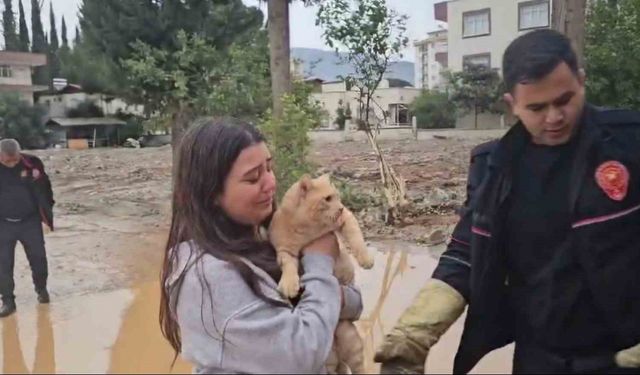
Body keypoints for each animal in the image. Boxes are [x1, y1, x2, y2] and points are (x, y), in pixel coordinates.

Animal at [268, 175, 376, 374]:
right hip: (328, 360)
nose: (340, 207)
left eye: (338, 197)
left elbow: (356, 238)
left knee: (359, 368)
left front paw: (366, 259)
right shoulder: (285, 250)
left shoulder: (346, 218)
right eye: (327, 199)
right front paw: (289, 285)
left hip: (351, 343)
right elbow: (288, 266)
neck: (308, 228)